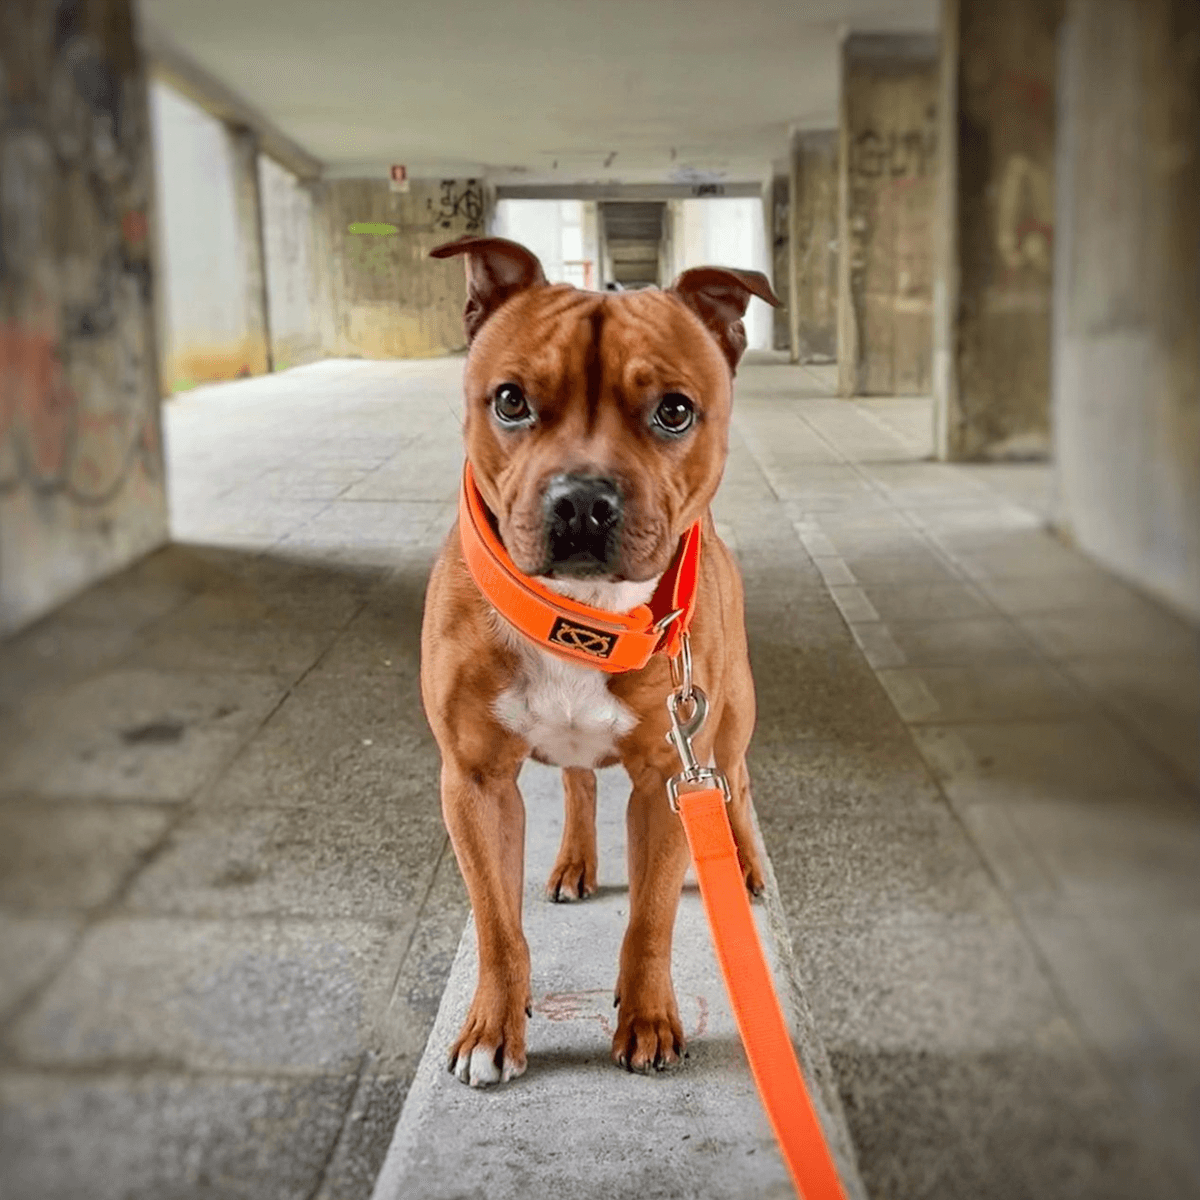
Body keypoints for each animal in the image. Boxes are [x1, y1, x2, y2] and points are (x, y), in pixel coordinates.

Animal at [420, 236, 777, 1089]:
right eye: (510, 400)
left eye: (674, 410)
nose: (582, 500)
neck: (584, 618)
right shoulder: (474, 783)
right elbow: (497, 925)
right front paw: (492, 1027)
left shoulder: (669, 779)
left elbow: (650, 917)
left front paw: (647, 1019)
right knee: (579, 782)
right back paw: (574, 860)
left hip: (728, 729)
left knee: (739, 784)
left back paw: (745, 864)